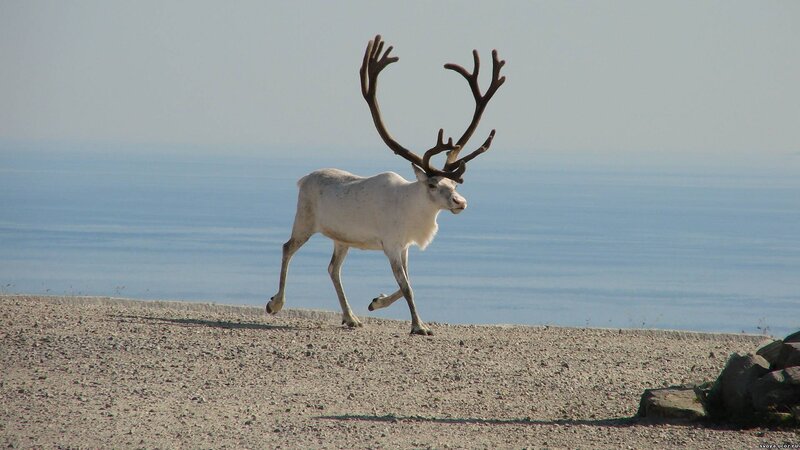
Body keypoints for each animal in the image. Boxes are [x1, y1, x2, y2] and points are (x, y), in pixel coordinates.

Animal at [266, 35, 506, 335]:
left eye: (453, 182)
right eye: (432, 184)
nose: (460, 202)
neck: (413, 209)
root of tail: (304, 178)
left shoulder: (404, 247)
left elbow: (406, 284)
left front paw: (376, 301)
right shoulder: (391, 244)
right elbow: (407, 287)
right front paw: (418, 326)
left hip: (341, 238)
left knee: (333, 269)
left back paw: (350, 317)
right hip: (305, 221)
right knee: (287, 248)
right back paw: (275, 303)